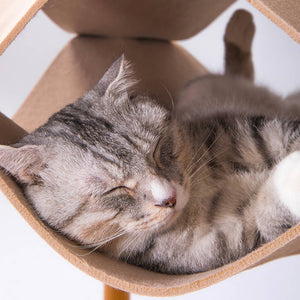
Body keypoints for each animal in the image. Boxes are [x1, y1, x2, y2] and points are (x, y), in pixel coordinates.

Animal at [0, 9, 300, 274]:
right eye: (115, 189)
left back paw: (240, 22)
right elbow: (269, 215)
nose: (169, 199)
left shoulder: (255, 128)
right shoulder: (224, 243)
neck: (203, 192)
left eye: (156, 151)